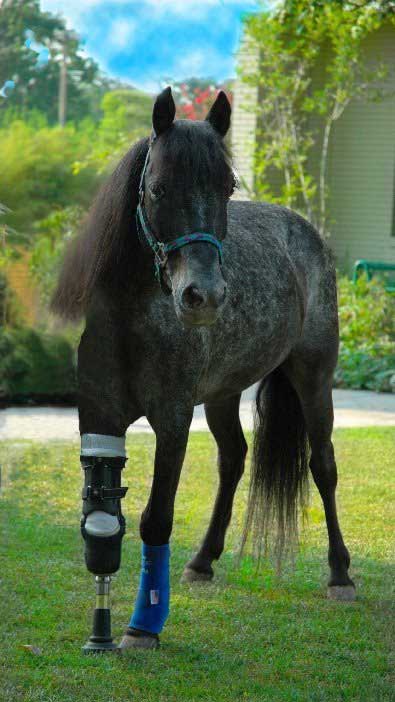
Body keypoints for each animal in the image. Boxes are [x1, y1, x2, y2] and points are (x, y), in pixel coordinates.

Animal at [52, 88, 356, 656]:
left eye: (227, 186)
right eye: (157, 187)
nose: (204, 297)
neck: (132, 314)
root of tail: (305, 231)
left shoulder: (172, 421)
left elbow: (155, 518)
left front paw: (143, 626)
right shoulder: (98, 418)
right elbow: (101, 519)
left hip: (314, 380)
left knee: (322, 466)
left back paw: (341, 575)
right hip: (222, 396)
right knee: (233, 459)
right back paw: (202, 561)